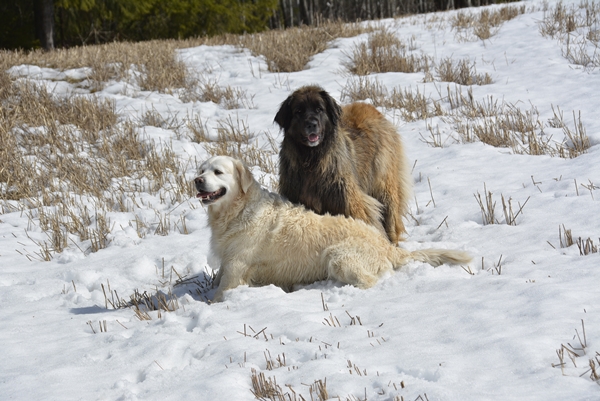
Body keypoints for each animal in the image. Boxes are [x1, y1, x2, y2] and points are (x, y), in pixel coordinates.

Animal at [195, 155, 472, 302]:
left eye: (218, 172)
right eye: (201, 170)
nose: (196, 181)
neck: (236, 212)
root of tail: (387, 246)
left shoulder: (237, 267)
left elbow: (220, 293)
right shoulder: (227, 261)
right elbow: (216, 279)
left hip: (337, 256)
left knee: (370, 281)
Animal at [274, 85, 410, 244]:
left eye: (319, 109)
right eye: (298, 112)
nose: (311, 124)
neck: (312, 160)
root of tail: (371, 108)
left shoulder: (350, 202)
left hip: (384, 186)